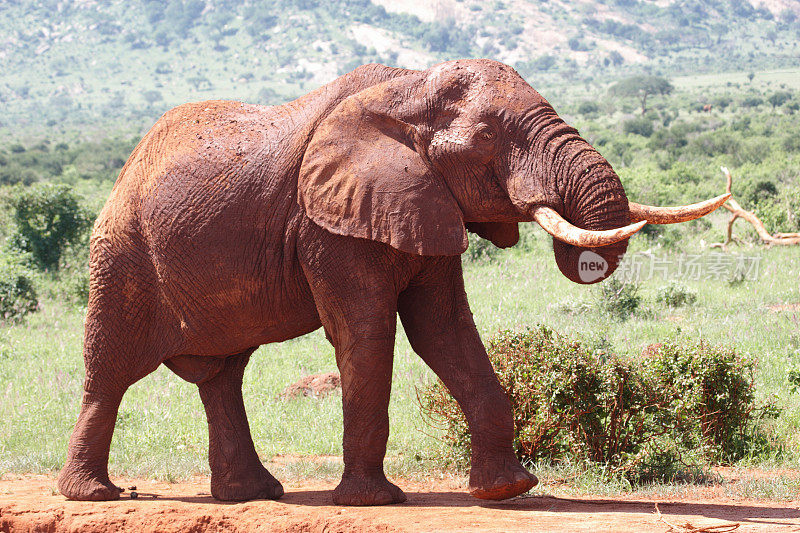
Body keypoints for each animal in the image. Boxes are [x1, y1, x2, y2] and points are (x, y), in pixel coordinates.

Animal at [57, 58, 732, 502]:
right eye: (488, 142)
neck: (409, 88)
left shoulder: (424, 203)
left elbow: (445, 331)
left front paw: (508, 490)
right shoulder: (326, 222)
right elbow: (367, 333)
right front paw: (371, 501)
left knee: (222, 376)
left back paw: (253, 495)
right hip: (120, 253)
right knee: (110, 372)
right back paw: (95, 496)